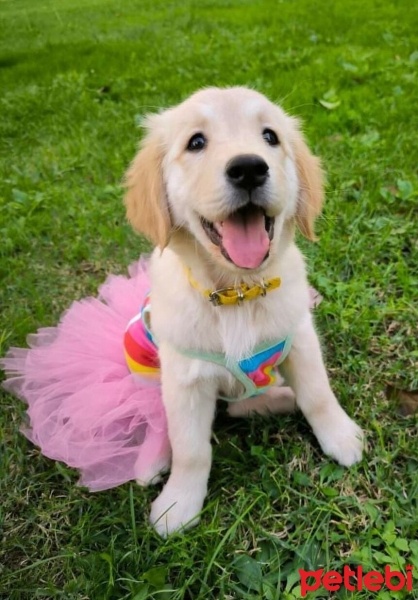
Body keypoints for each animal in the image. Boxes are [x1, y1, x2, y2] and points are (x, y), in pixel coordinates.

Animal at [123, 86, 362, 536]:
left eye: (270, 136)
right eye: (196, 142)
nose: (249, 168)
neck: (238, 293)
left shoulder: (301, 340)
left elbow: (319, 395)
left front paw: (342, 437)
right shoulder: (183, 379)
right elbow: (191, 448)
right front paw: (178, 504)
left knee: (241, 404)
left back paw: (281, 398)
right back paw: (152, 462)